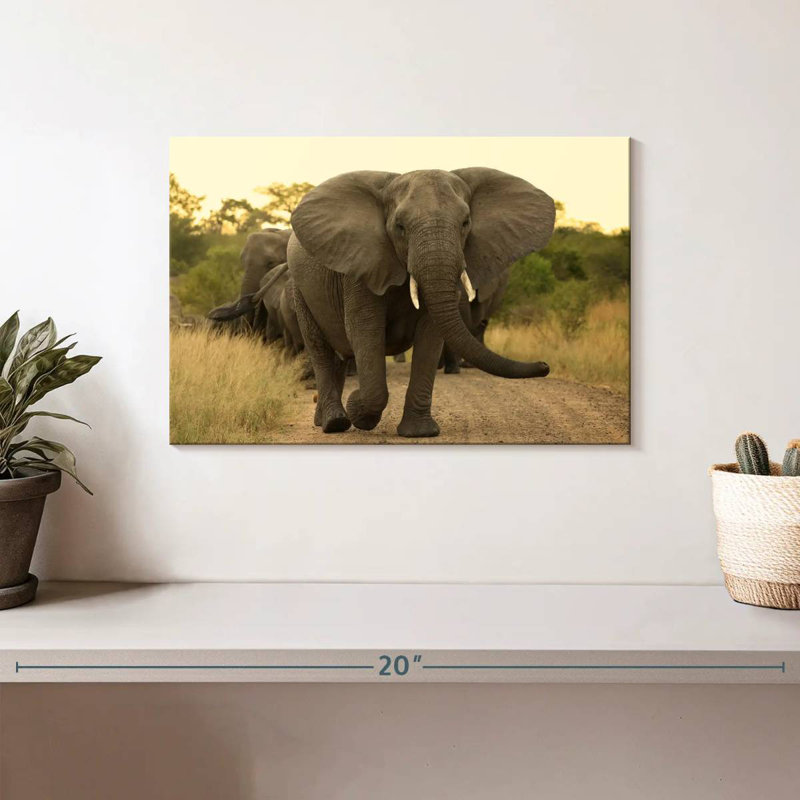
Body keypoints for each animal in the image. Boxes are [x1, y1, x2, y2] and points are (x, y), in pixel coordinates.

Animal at [288, 167, 555, 438]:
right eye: (400, 227)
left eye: (465, 223)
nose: (544, 364)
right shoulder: (360, 268)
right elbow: (365, 332)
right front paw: (359, 408)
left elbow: (431, 334)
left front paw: (419, 432)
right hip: (299, 290)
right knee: (320, 349)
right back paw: (334, 423)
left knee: (338, 356)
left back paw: (328, 419)